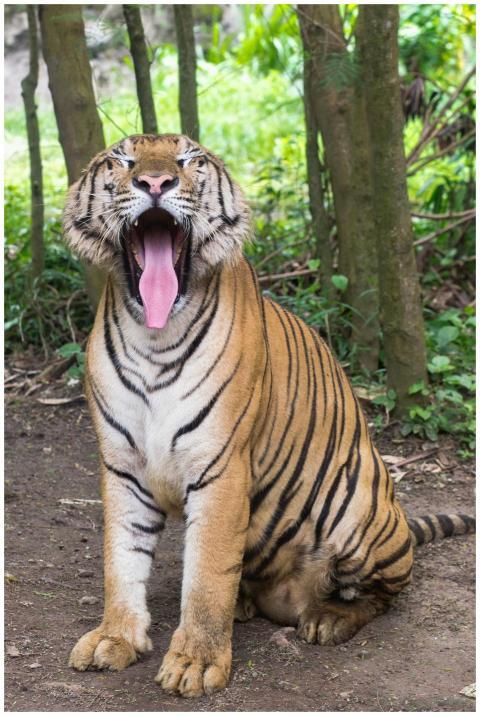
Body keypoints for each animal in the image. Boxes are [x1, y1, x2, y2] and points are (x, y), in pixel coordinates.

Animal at [63, 133, 475, 698]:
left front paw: (195, 663)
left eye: (187, 160)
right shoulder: (122, 465)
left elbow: (208, 573)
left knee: (384, 593)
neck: (154, 336)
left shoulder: (220, 466)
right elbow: (121, 559)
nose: (155, 182)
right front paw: (115, 638)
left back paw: (327, 618)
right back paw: (247, 604)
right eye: (124, 160)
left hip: (359, 508)